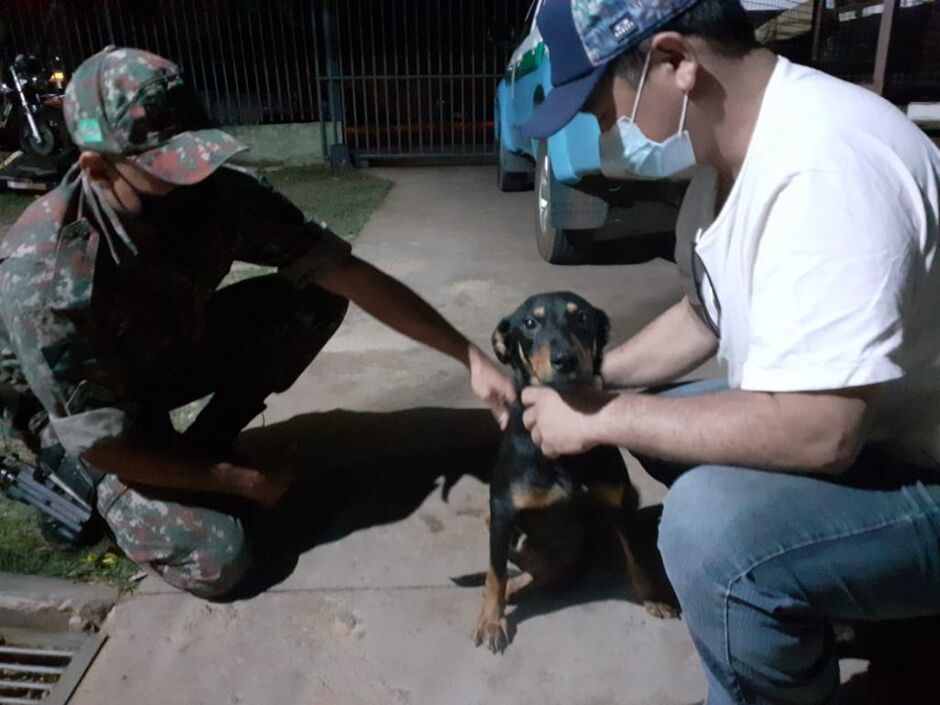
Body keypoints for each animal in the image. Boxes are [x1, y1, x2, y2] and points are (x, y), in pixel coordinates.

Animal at [474, 288, 680, 652]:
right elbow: (494, 573)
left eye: (582, 317)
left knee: (543, 573)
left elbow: (638, 560)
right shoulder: (502, 510)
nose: (564, 360)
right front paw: (491, 621)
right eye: (530, 323)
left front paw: (654, 598)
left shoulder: (619, 504)